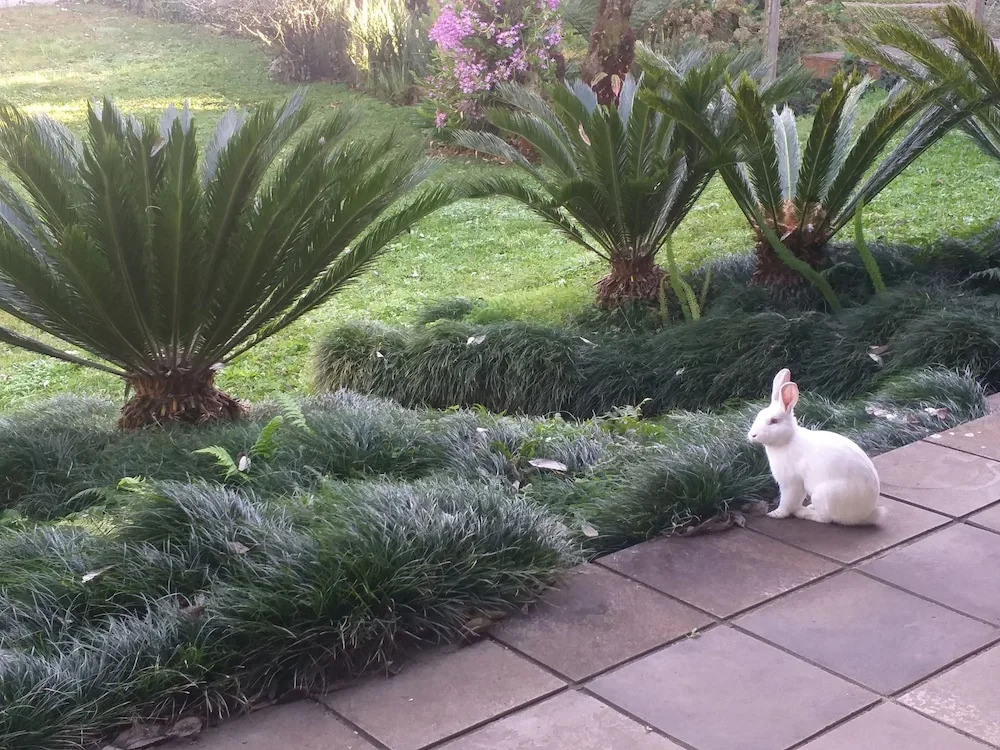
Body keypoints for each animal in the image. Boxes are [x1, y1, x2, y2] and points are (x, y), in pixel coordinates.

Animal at [747, 368, 885, 525]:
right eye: (758, 415)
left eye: (774, 421)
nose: (752, 435)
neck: (788, 439)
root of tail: (867, 515)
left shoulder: (791, 483)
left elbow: (788, 502)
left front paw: (775, 514)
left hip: (823, 495)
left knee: (826, 518)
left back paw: (803, 513)